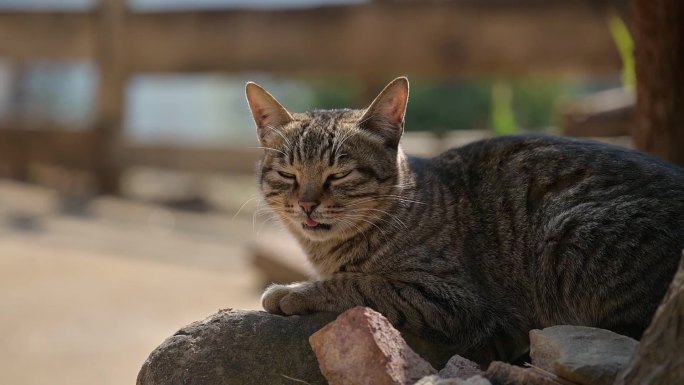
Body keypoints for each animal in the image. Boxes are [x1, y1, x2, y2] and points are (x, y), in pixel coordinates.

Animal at [244, 76, 684, 362]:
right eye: (288, 174)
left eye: (339, 175)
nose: (307, 204)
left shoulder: (452, 298)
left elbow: (359, 283)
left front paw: (294, 290)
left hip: (569, 230)